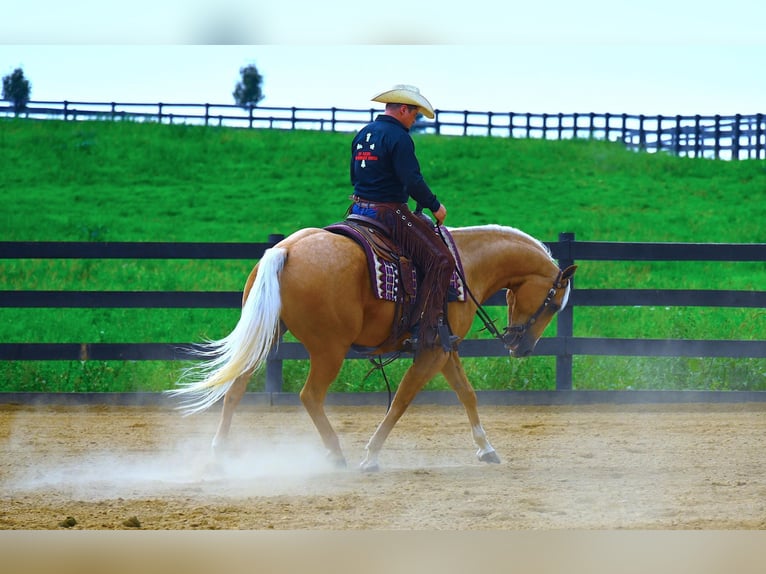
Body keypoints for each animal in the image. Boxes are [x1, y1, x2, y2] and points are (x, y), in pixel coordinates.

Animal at [168, 225, 576, 472]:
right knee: (310, 396)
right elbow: (402, 401)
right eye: (554, 305)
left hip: (268, 335)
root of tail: (285, 249)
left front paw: (486, 448)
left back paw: (219, 454)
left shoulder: (444, 350)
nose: (521, 347)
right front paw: (371, 454)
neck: (465, 266)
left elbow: (467, 394)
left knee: (235, 389)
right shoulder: (432, 353)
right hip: (329, 349)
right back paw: (336, 455)